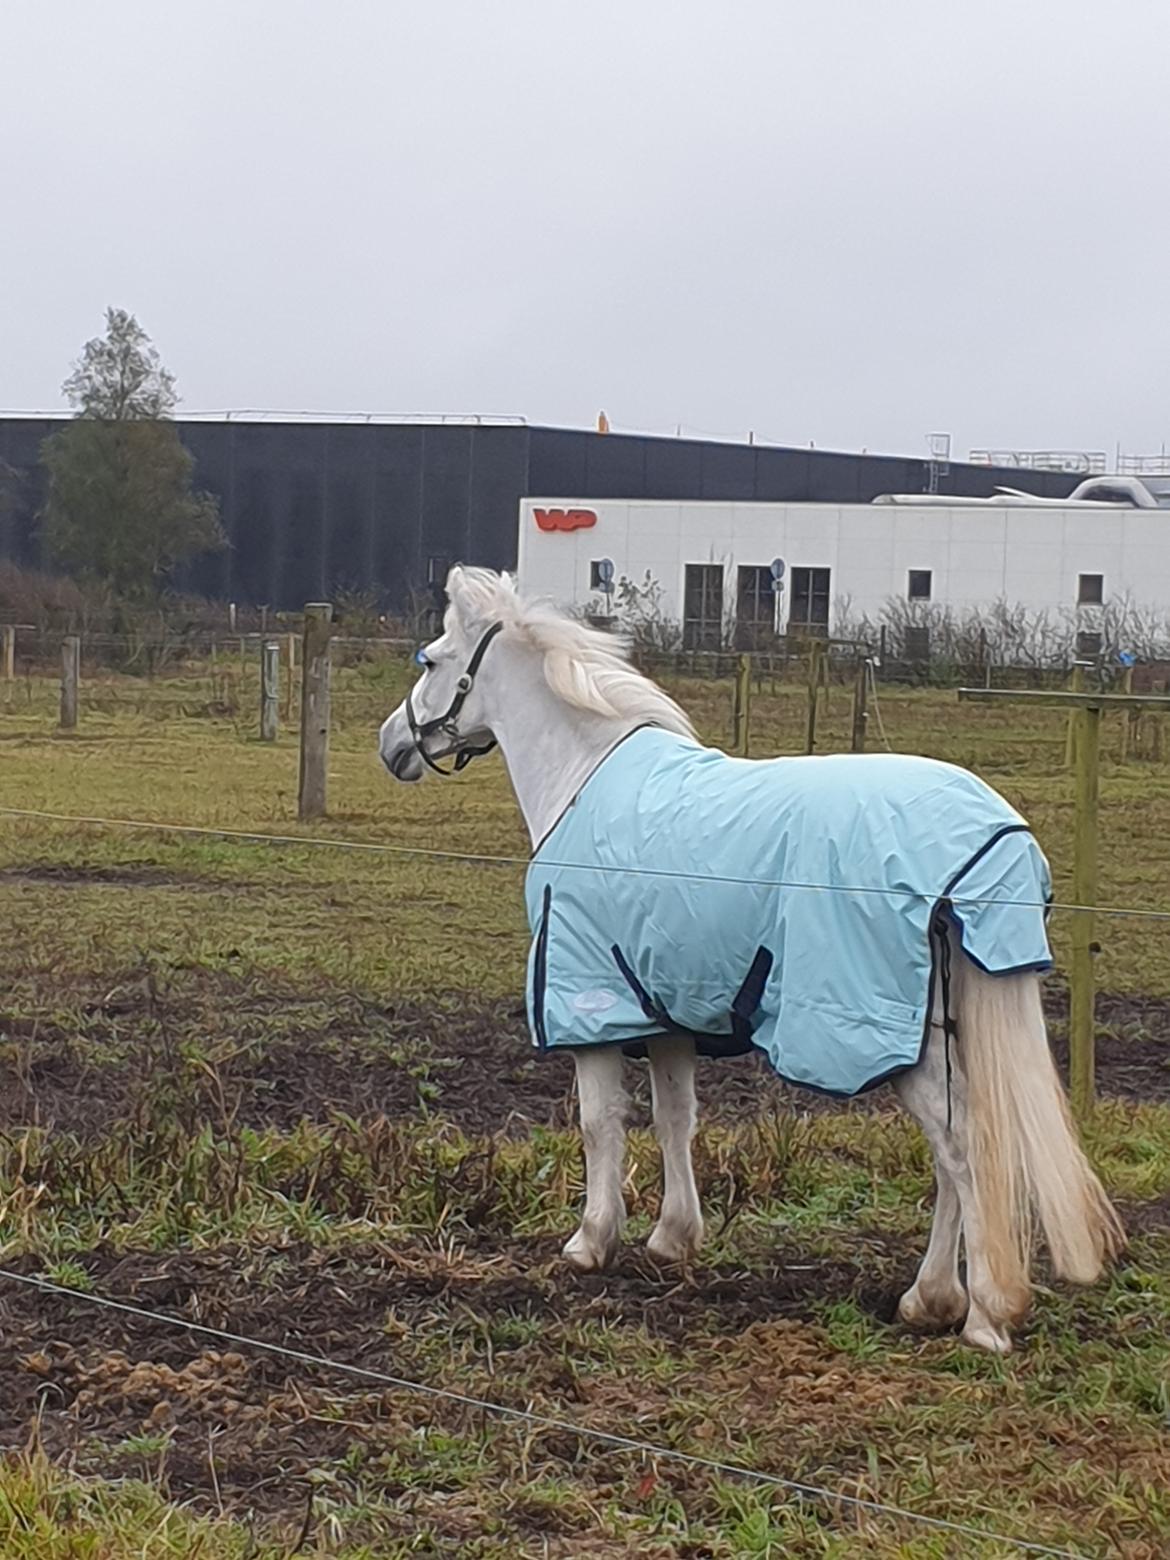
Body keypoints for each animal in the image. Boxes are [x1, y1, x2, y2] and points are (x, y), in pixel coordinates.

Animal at [377, 567, 1129, 1347]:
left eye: (431, 661)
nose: (390, 743)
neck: (584, 781)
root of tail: (992, 836)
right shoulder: (665, 1009)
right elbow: (676, 1117)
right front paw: (673, 1237)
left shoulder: (592, 1010)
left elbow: (599, 1123)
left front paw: (591, 1241)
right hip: (945, 1037)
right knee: (960, 1155)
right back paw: (929, 1299)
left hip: (901, 1044)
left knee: (963, 1154)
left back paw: (983, 1316)